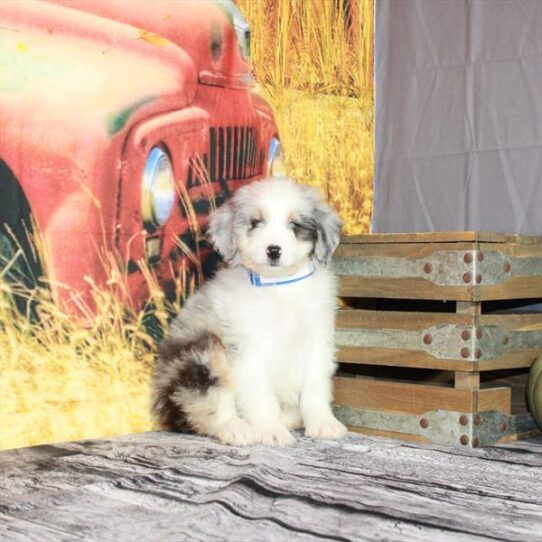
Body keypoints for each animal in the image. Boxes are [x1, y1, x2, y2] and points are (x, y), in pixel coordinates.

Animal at [153, 176, 348, 448]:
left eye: (294, 224)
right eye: (256, 223)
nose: (274, 250)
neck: (278, 287)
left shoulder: (317, 340)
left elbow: (315, 388)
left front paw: (323, 423)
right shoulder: (247, 348)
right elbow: (260, 395)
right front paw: (270, 430)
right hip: (202, 352)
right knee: (203, 405)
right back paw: (237, 428)